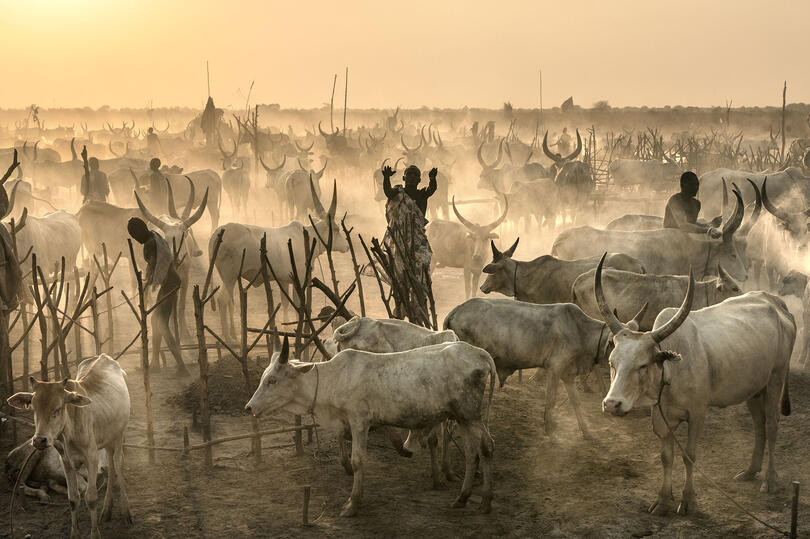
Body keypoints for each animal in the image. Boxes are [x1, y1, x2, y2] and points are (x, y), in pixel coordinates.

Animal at [7, 354, 133, 537]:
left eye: (58, 408)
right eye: (33, 408)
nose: (39, 440)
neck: (68, 432)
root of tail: (105, 357)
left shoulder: (91, 457)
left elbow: (91, 497)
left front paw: (95, 534)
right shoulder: (65, 460)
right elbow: (73, 498)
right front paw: (75, 533)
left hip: (119, 434)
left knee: (117, 465)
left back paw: (126, 513)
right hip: (107, 439)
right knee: (110, 466)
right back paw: (106, 511)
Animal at [211, 177, 348, 339]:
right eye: (337, 229)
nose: (346, 246)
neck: (307, 237)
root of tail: (216, 235)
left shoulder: (284, 280)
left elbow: (285, 302)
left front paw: (286, 327)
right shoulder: (299, 279)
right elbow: (298, 305)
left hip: (227, 277)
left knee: (226, 301)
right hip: (230, 276)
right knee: (223, 300)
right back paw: (231, 338)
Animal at [245, 337, 496, 516]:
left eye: (272, 380)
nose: (249, 407)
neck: (333, 379)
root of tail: (480, 354)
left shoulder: (359, 421)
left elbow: (357, 461)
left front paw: (352, 504)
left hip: (471, 415)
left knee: (486, 447)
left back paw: (485, 502)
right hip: (462, 418)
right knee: (471, 452)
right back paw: (462, 498)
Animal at [444, 297, 641, 439]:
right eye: (615, 343)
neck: (580, 330)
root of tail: (456, 310)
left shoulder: (568, 374)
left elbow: (576, 401)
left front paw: (586, 432)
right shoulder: (554, 369)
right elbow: (550, 400)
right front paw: (550, 431)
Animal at [594, 256, 795, 515]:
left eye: (642, 365)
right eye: (612, 362)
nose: (612, 404)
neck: (670, 370)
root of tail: (776, 302)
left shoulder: (697, 414)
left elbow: (688, 455)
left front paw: (688, 500)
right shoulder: (661, 418)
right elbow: (666, 457)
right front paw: (663, 500)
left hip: (775, 380)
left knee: (771, 425)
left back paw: (769, 480)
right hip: (753, 387)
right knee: (759, 424)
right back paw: (751, 471)